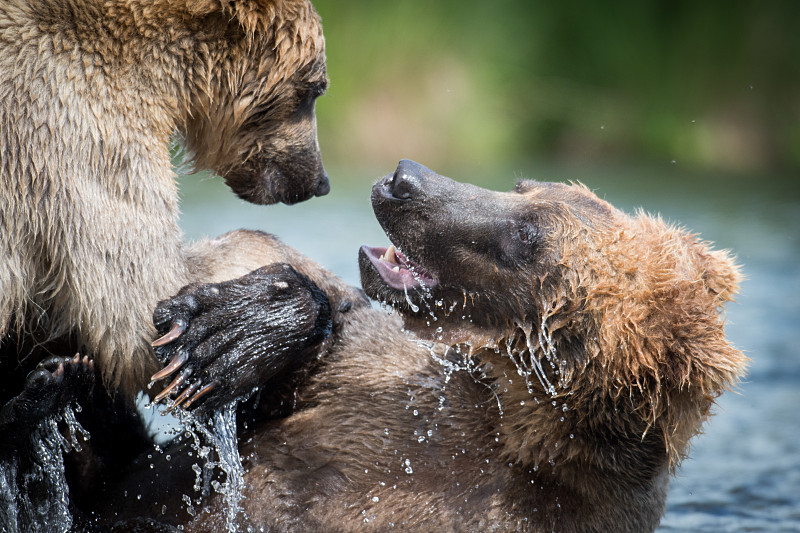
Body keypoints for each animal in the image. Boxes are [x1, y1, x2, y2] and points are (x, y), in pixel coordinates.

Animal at [126, 159, 752, 532]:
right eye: (521, 186)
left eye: (526, 239)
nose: (406, 179)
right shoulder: (384, 382)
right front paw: (225, 334)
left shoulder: (526, 507)